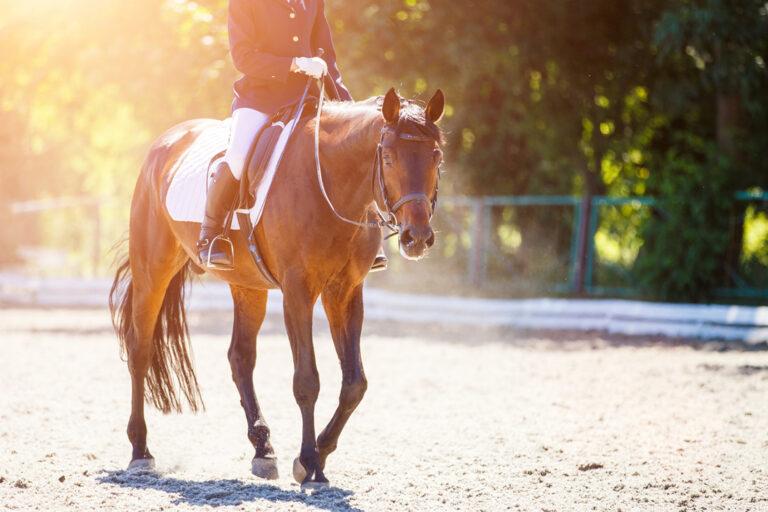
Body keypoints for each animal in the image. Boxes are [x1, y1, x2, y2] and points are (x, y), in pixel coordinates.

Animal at [108, 87, 446, 488]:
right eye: (390, 158)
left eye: (437, 157)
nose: (417, 238)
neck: (331, 181)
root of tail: (166, 141)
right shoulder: (298, 290)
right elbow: (307, 380)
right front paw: (308, 462)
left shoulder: (346, 291)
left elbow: (354, 384)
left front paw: (320, 455)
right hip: (152, 270)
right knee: (139, 350)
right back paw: (140, 451)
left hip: (247, 285)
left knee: (240, 357)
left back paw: (262, 449)